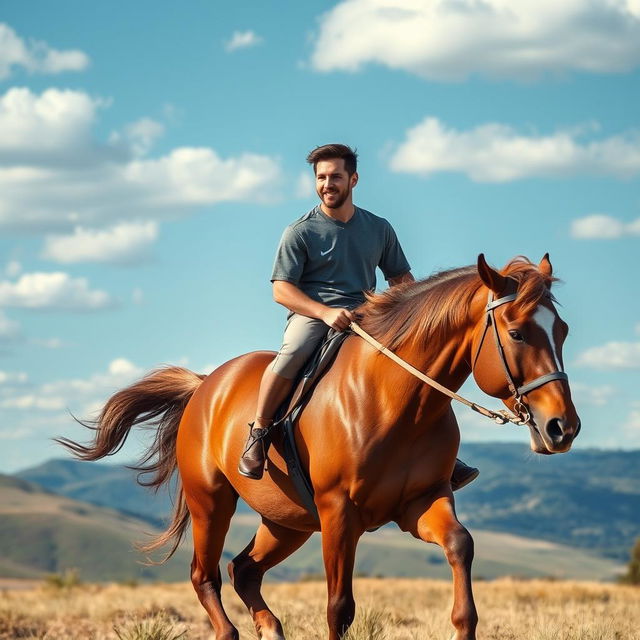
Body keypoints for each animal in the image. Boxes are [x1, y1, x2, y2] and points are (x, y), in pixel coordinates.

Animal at [58, 255, 580, 640]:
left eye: (562, 331)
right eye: (517, 332)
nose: (563, 428)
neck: (398, 402)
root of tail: (206, 385)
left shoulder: (422, 502)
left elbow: (460, 549)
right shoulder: (338, 513)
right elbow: (339, 608)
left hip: (286, 522)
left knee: (244, 570)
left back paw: (271, 628)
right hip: (213, 502)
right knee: (205, 576)